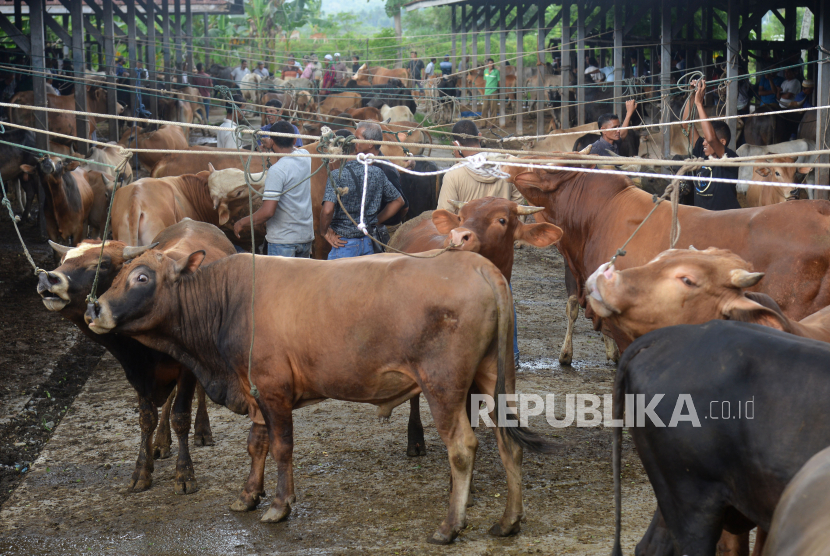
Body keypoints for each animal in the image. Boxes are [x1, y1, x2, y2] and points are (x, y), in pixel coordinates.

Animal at [39, 219, 234, 494]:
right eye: (64, 258)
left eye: (102, 263)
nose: (48, 277)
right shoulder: (137, 373)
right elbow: (147, 418)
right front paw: (142, 468)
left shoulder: (186, 368)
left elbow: (181, 415)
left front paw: (184, 473)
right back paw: (161, 442)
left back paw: (202, 430)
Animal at [86, 248, 552, 544]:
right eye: (115, 274)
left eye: (142, 277)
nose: (94, 308)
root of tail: (477, 264)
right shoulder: (255, 391)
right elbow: (256, 444)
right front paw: (247, 495)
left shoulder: (273, 389)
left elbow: (281, 448)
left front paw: (279, 504)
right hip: (492, 378)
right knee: (509, 445)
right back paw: (509, 520)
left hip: (444, 384)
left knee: (463, 447)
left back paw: (450, 526)